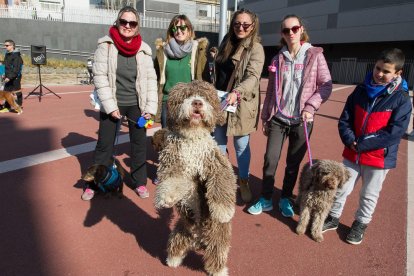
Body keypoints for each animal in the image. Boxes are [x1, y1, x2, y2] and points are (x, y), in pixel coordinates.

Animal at [153, 80, 238, 276]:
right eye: (186, 96)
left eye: (205, 97)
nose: (197, 102)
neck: (192, 137)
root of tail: (199, 240)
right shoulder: (173, 162)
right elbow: (172, 180)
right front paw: (166, 198)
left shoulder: (216, 162)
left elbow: (223, 181)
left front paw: (224, 211)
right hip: (181, 230)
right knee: (176, 244)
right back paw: (173, 260)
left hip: (217, 236)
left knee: (216, 254)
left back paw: (219, 271)